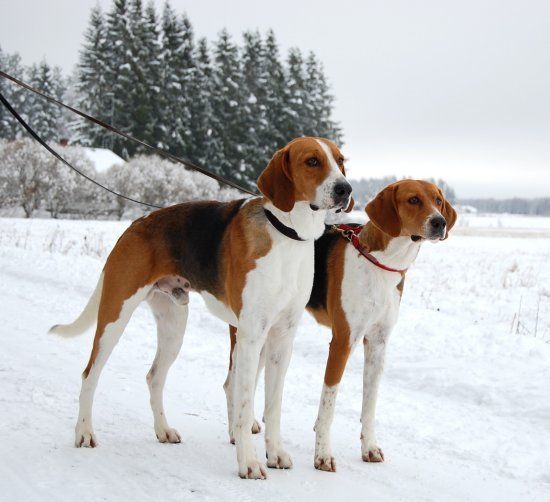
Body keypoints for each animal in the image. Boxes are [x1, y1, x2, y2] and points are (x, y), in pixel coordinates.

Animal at [50, 136, 354, 478]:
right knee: (89, 374)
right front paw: (249, 463)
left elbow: (273, 405)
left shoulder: (282, 338)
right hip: (115, 317)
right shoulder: (251, 336)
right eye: (312, 161)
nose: (345, 189)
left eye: (341, 161)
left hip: (174, 324)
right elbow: (244, 404)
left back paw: (163, 430)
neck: (286, 235)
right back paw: (84, 432)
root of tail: (135, 224)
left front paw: (274, 453)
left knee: (154, 377)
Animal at [226, 179, 460, 470]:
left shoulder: (378, 344)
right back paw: (236, 433)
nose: (439, 222)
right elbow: (328, 404)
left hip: (269, 333)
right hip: (247, 333)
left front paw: (369, 447)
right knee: (231, 383)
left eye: (438, 200)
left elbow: (369, 405)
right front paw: (323, 455)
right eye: (413, 200)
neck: (381, 263)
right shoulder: (342, 342)